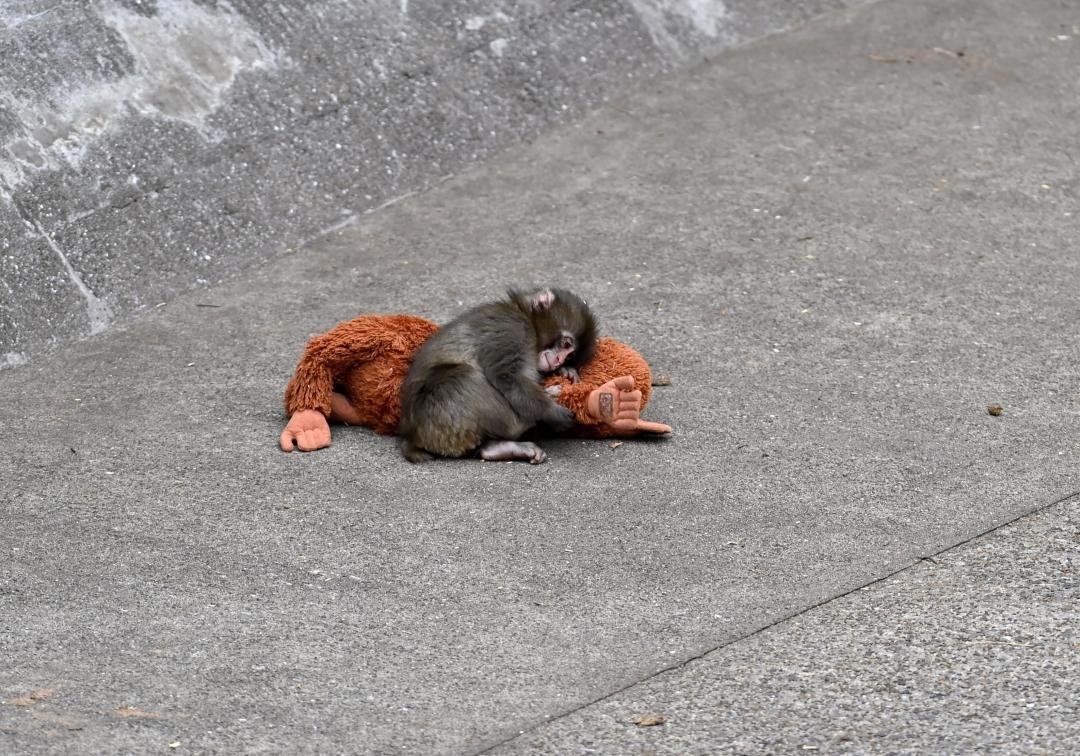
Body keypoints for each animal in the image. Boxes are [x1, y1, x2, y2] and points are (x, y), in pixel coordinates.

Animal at [398, 287, 598, 464]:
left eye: (570, 356)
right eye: (566, 344)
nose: (558, 361)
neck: (524, 315)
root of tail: (412, 436)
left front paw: (565, 371)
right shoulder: (512, 329)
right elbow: (507, 376)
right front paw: (551, 411)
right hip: (438, 415)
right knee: (464, 377)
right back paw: (526, 421)